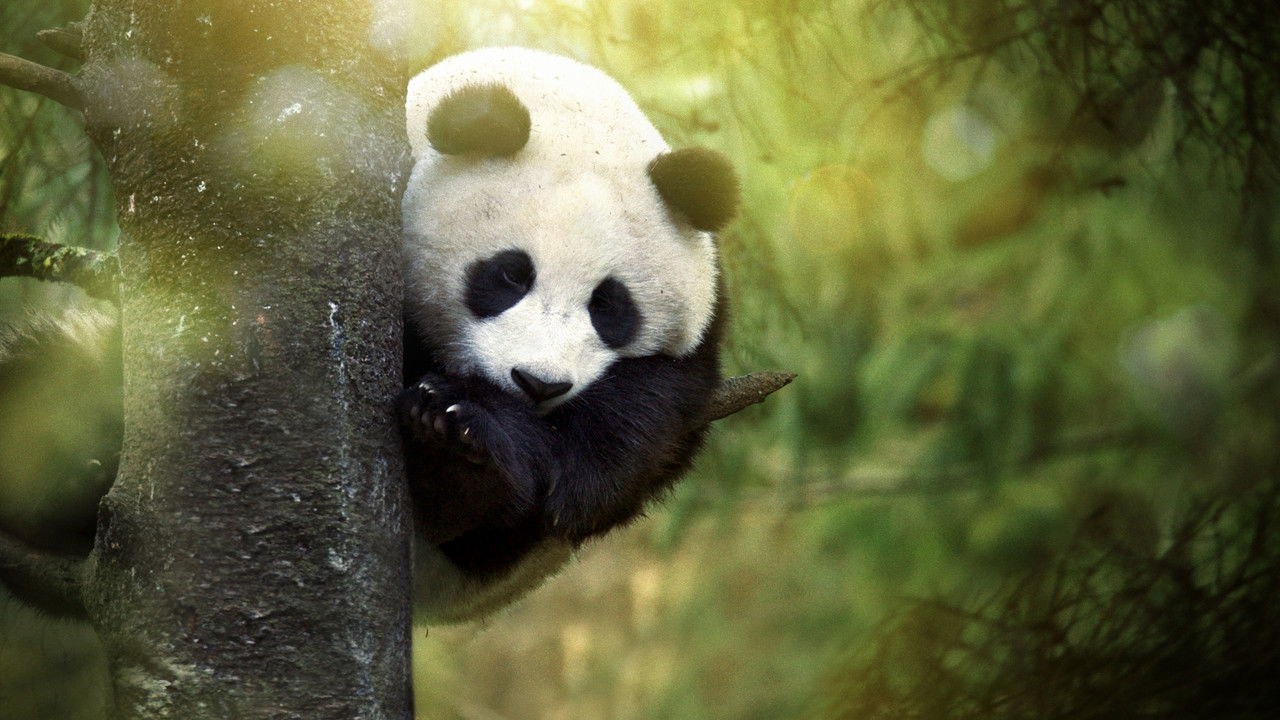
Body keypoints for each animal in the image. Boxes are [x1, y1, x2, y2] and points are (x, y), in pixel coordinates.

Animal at [399, 47, 738, 622]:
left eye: (607, 305)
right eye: (512, 275)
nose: (538, 384)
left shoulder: (698, 338)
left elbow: (633, 429)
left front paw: (468, 442)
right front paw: (455, 431)